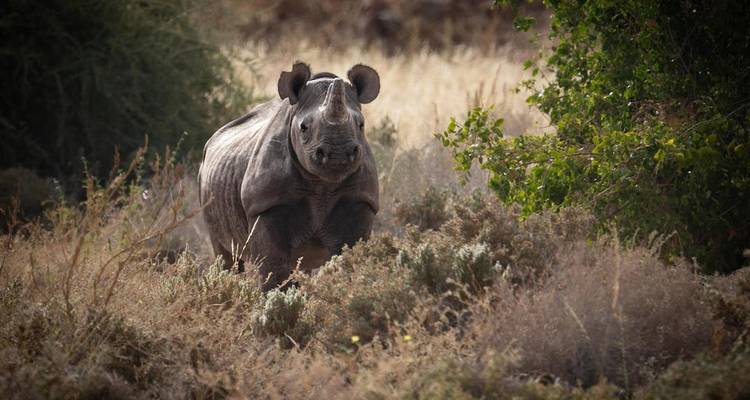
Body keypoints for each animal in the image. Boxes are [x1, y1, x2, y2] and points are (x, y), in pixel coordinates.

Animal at [198, 62, 380, 291]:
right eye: (304, 127)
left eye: (361, 125)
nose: (338, 154)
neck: (322, 186)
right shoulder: (265, 204)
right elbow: (274, 269)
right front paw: (277, 298)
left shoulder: (361, 199)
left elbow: (349, 260)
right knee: (225, 253)